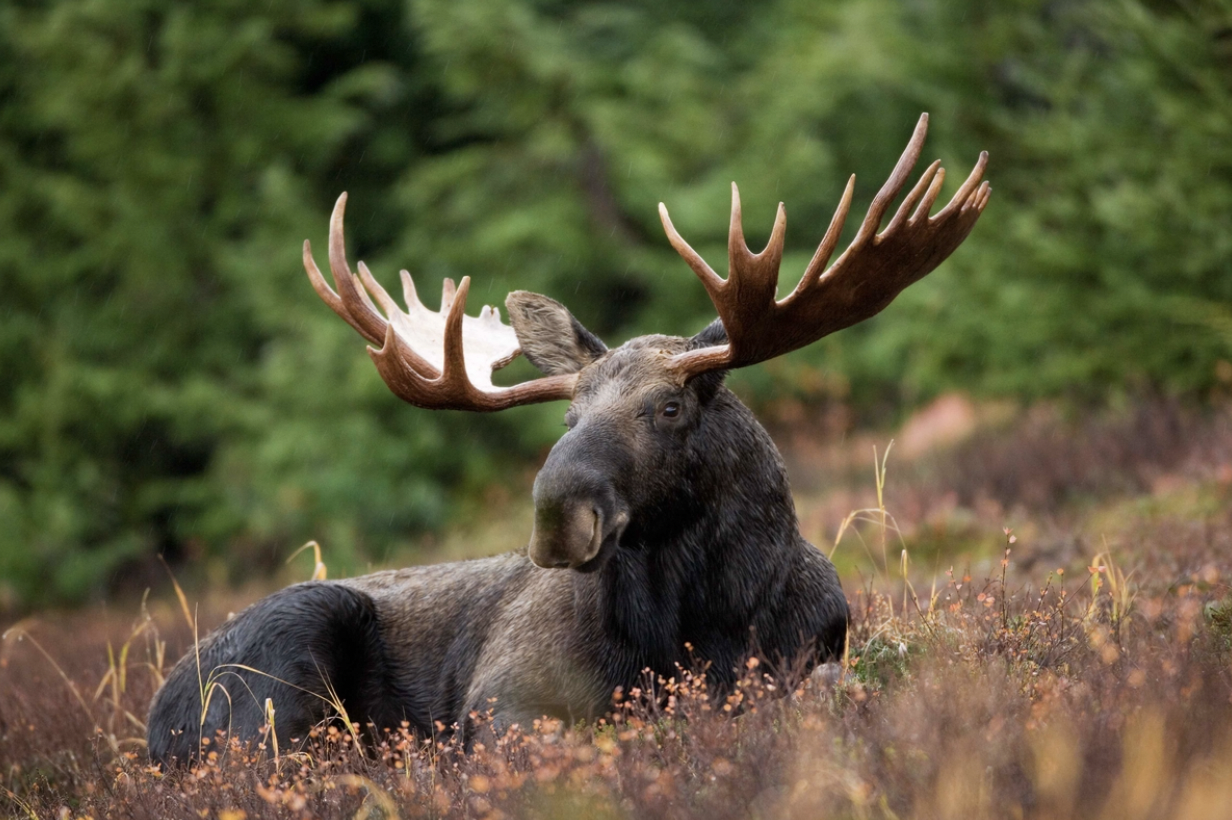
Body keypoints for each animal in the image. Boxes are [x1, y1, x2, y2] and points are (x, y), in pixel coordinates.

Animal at [144, 112, 990, 763]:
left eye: (669, 407)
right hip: (286, 657)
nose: (557, 514)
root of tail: (154, 719)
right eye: (567, 418)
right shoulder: (502, 700)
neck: (702, 623)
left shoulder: (815, 654)